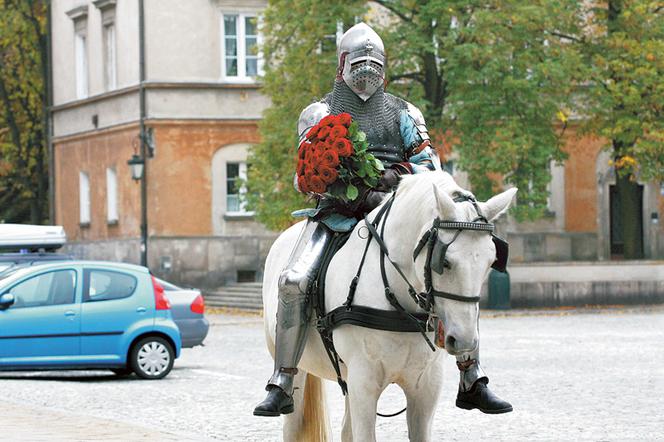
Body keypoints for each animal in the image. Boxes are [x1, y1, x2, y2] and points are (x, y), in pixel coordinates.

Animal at [262, 170, 516, 442]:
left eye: (490, 261)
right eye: (445, 261)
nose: (465, 341)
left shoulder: (425, 388)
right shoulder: (363, 383)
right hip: (301, 370)